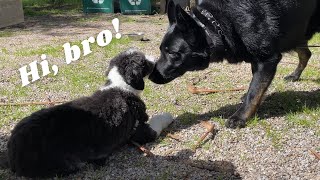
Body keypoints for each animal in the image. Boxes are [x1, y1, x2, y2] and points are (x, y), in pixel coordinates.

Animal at [3, 48, 171, 178]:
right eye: (143, 62)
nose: (154, 59)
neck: (121, 86)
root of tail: (12, 153)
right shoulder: (137, 132)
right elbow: (157, 122)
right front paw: (169, 116)